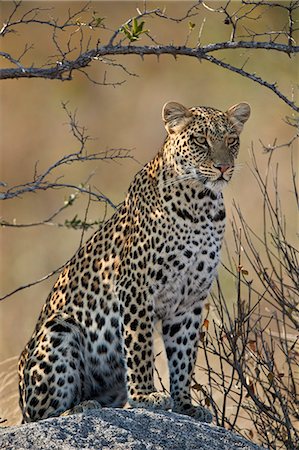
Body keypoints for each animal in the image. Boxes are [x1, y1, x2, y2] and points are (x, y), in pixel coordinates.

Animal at [18, 100, 251, 424]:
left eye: (231, 140)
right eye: (200, 140)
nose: (224, 167)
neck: (200, 205)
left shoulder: (190, 300)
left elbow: (184, 356)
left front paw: (185, 405)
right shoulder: (136, 288)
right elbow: (139, 345)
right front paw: (145, 396)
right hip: (58, 328)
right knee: (42, 415)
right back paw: (80, 407)